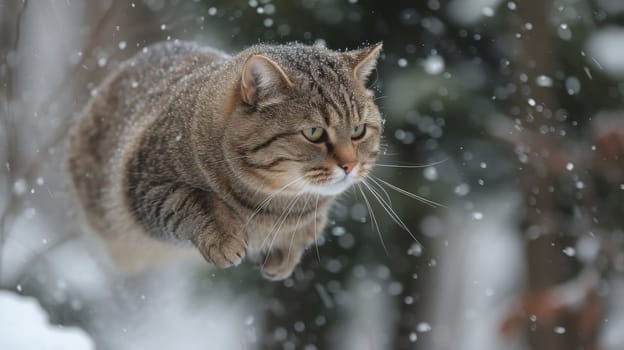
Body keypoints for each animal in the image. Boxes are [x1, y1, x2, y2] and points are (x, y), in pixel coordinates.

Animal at [66, 41, 382, 280]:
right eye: (314, 133)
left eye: (358, 130)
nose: (350, 165)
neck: (275, 206)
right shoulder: (146, 181)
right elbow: (191, 200)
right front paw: (222, 237)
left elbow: (309, 227)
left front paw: (285, 255)